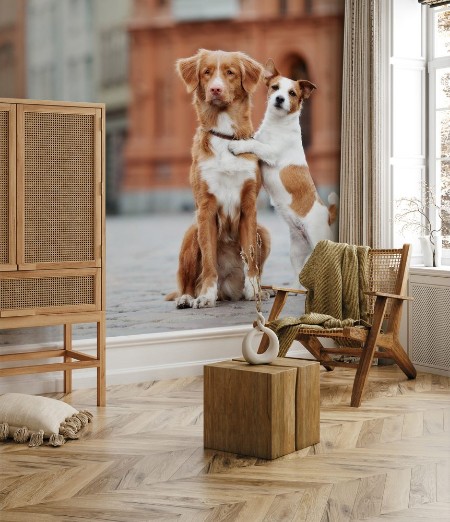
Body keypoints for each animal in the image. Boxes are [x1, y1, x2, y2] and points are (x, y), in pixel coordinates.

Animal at [167, 47, 268, 304]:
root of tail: (228, 289)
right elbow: (209, 260)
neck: (224, 135)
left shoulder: (249, 205)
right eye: (207, 72)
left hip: (265, 232)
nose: (215, 89)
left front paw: (254, 291)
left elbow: (251, 257)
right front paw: (206, 296)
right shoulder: (206, 208)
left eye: (230, 73)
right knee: (186, 283)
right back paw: (188, 297)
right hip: (191, 233)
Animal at [229, 60, 338, 280]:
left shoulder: (271, 153)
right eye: (274, 87)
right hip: (296, 252)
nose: (279, 99)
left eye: (292, 93)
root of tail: (328, 215)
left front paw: (237, 146)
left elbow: (255, 145)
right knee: (300, 276)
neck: (277, 126)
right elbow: (254, 139)